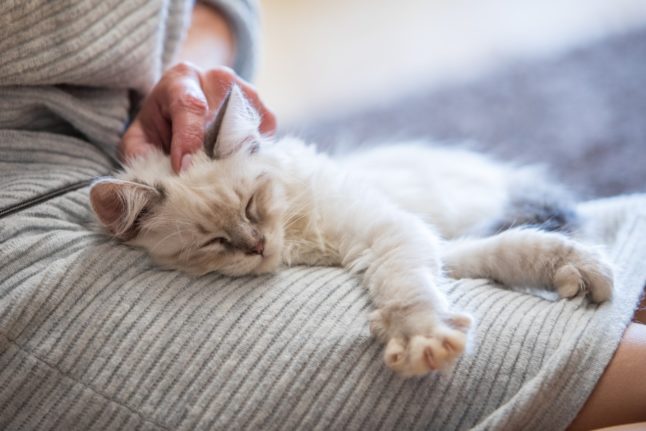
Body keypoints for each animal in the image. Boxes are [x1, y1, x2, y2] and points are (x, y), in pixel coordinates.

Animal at [90, 87, 612, 378]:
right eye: (213, 242)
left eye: (251, 206)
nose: (257, 246)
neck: (304, 241)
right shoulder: (425, 242)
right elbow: (497, 254)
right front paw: (571, 271)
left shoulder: (388, 231)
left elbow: (413, 290)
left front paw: (421, 339)